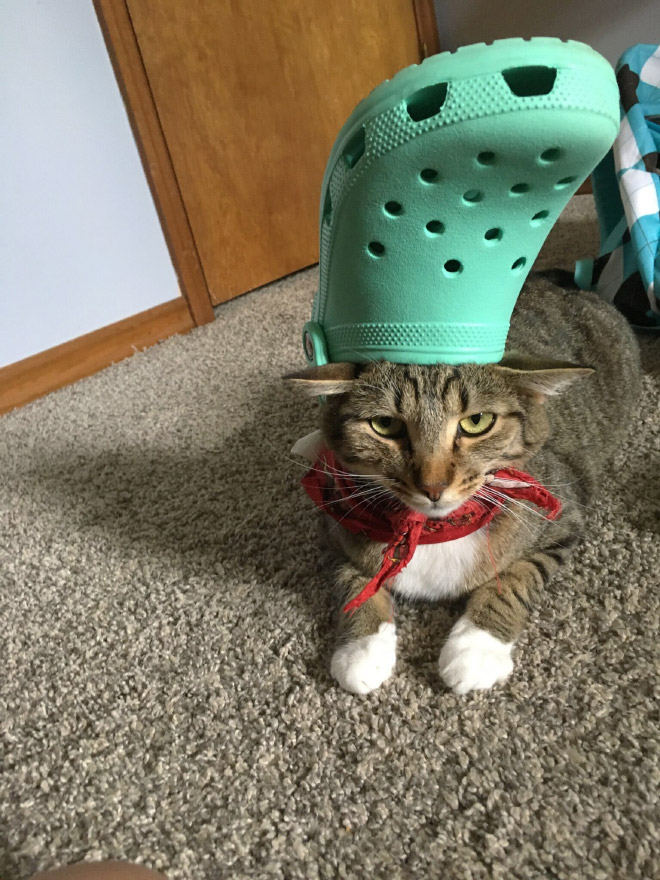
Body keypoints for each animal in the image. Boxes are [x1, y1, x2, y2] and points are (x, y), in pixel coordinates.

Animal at [288, 272, 640, 696]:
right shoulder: (332, 527)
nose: (433, 485)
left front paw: (476, 648)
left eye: (477, 422)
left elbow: (516, 577)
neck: (432, 530)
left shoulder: (563, 516)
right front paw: (363, 648)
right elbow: (353, 583)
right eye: (385, 425)